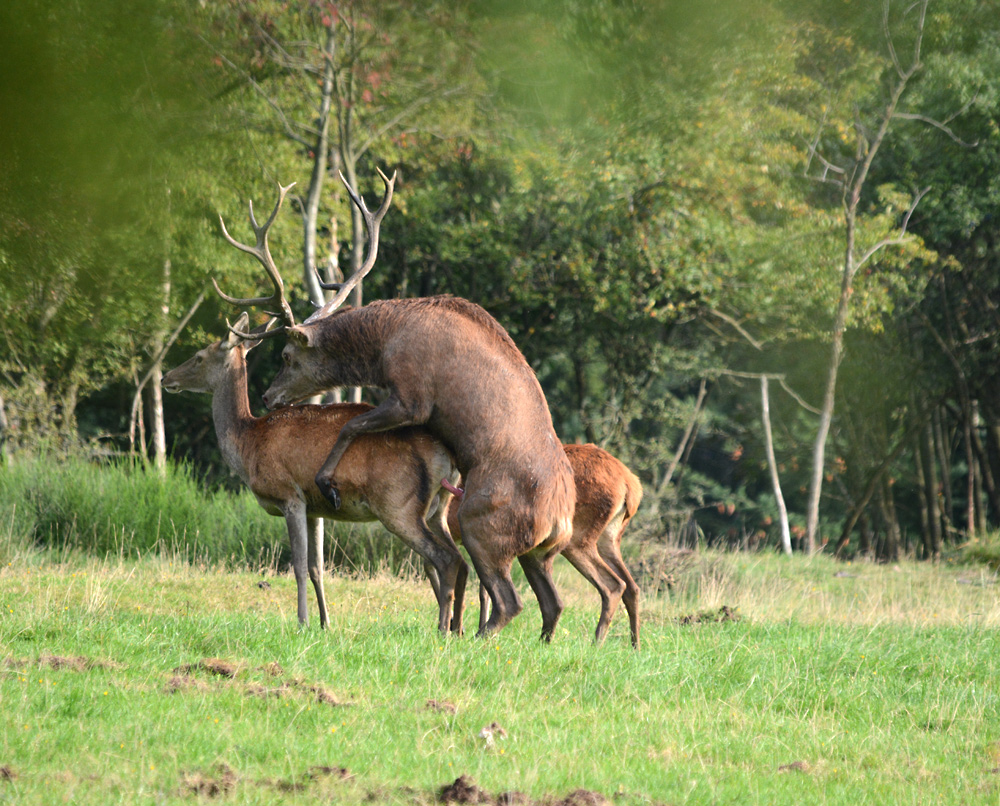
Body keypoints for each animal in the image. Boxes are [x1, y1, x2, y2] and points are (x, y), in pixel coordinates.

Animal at [161, 316, 468, 636]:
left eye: (199, 356)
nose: (165, 378)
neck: (248, 446)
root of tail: (447, 457)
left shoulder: (289, 495)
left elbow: (297, 565)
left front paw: (302, 621)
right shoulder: (315, 506)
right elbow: (316, 567)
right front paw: (325, 623)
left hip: (398, 504)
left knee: (445, 559)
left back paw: (442, 628)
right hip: (438, 510)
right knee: (461, 561)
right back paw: (459, 627)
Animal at [215, 174, 576, 640]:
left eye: (286, 356)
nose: (266, 398)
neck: (382, 344)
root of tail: (560, 519)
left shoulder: (412, 395)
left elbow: (352, 426)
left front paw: (328, 482)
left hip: (481, 522)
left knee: (506, 599)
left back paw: (470, 637)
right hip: (539, 552)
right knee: (553, 603)